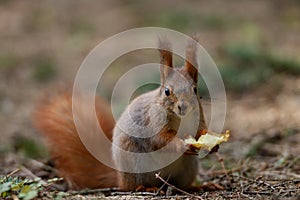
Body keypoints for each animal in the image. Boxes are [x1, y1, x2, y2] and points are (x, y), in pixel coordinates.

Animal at [33, 36, 209, 191]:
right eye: (167, 91)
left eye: (195, 90)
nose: (183, 107)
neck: (181, 118)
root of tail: (119, 177)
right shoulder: (154, 121)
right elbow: (160, 139)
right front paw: (182, 145)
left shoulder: (199, 117)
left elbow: (202, 130)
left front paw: (209, 142)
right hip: (134, 160)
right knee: (131, 186)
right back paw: (145, 187)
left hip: (188, 167)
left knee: (180, 184)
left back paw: (197, 187)